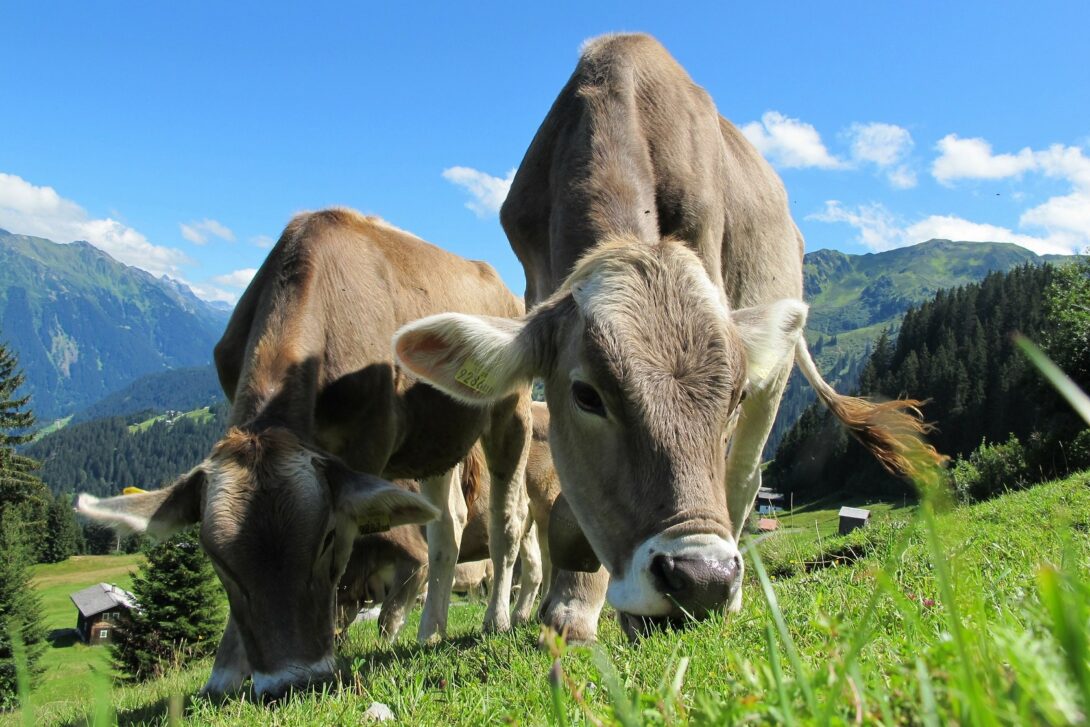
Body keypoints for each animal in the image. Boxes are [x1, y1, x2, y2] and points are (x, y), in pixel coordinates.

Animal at [74, 207, 534, 697]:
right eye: (216, 559)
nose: (290, 682)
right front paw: (225, 673)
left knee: (507, 521)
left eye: (326, 539)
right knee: (448, 526)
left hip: (511, 411)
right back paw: (431, 630)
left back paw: (497, 620)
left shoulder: (366, 447)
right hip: (435, 440)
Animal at [394, 35, 946, 640]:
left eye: (733, 395)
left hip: (775, 377)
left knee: (744, 477)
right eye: (586, 395)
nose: (703, 579)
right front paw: (571, 607)